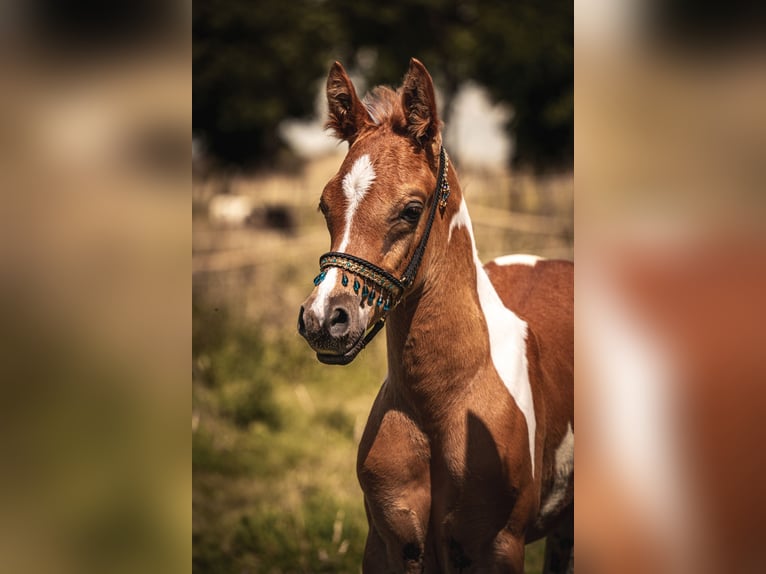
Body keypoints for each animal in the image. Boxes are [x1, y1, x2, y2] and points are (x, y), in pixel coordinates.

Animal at [296, 59, 572, 574]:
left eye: (411, 209)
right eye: (325, 205)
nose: (325, 318)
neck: (440, 403)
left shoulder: (498, 547)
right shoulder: (387, 545)